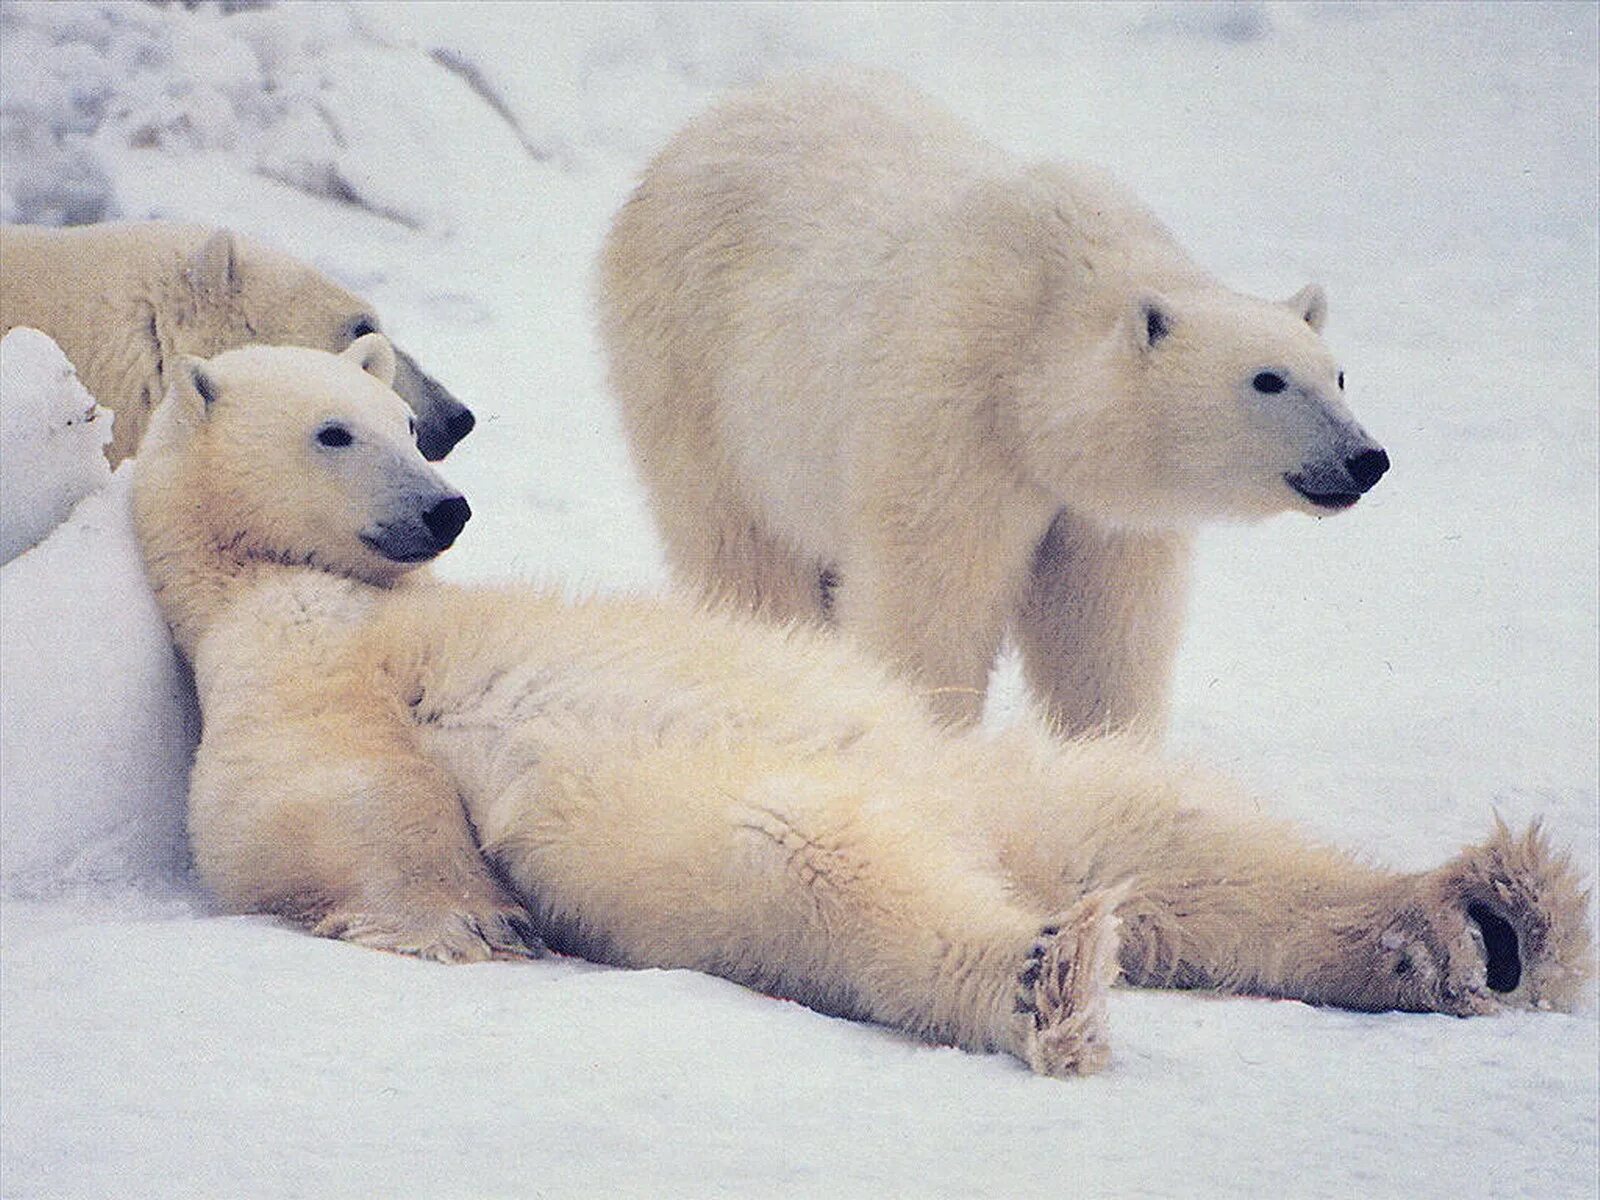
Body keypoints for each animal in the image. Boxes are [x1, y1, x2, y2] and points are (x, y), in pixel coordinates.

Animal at [131, 336, 1593, 1081]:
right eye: (336, 430)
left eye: (403, 423)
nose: (444, 507)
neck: (316, 586)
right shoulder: (282, 666)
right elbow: (313, 802)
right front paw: (471, 923)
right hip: (735, 811)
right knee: (810, 866)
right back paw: (1048, 973)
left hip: (985, 774)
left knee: (1167, 832)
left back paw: (1481, 918)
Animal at [598, 75, 1388, 739]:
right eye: (1267, 380)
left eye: (1338, 375)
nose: (1365, 458)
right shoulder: (954, 415)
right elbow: (934, 601)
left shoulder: (1103, 513)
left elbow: (1103, 630)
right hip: (697, 371)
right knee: (743, 552)